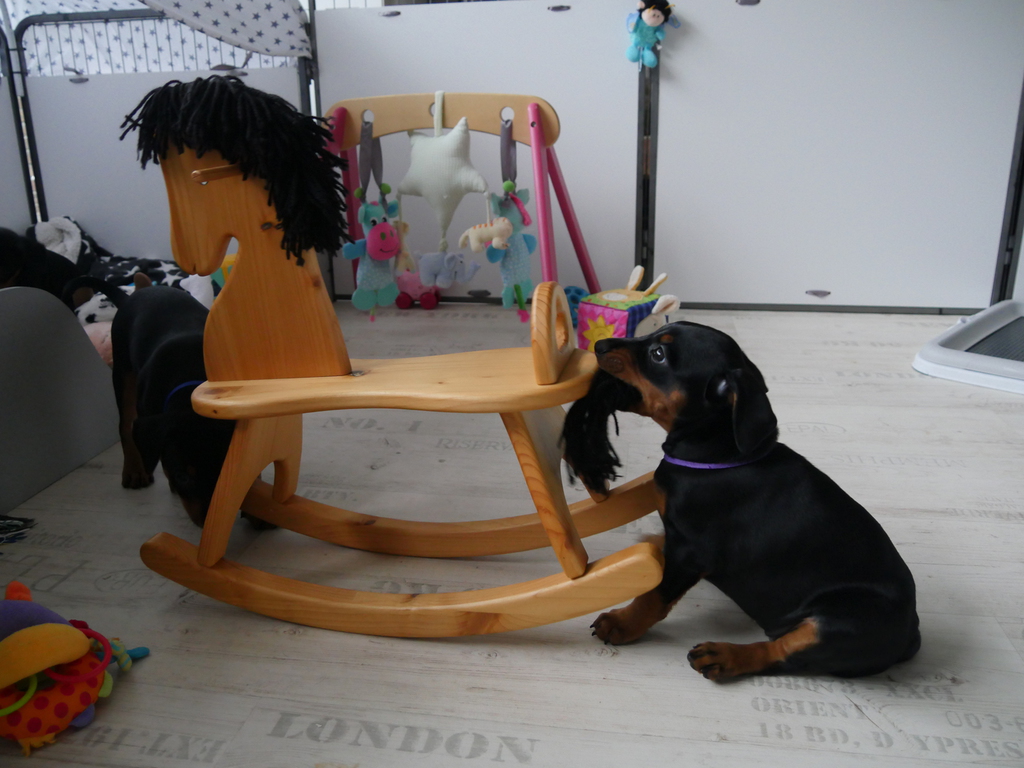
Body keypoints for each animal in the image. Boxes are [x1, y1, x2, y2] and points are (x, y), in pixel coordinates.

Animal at [563, 321, 920, 680]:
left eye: (658, 354)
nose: (599, 345)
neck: (718, 456)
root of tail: (911, 634)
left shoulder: (691, 553)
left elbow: (655, 595)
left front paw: (622, 623)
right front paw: (655, 540)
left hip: (844, 621)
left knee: (783, 654)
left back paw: (724, 656)